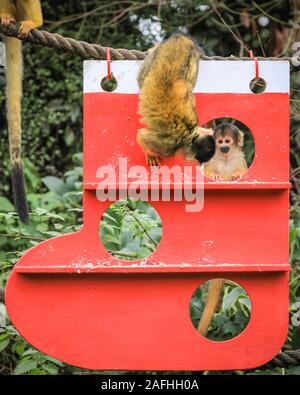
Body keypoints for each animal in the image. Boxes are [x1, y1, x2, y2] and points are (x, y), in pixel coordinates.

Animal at [136, 34, 216, 169]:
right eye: (198, 159)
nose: (199, 164)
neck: (189, 132)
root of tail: (181, 38)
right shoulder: (168, 148)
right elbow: (141, 135)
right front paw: (150, 154)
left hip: (192, 59)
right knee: (141, 79)